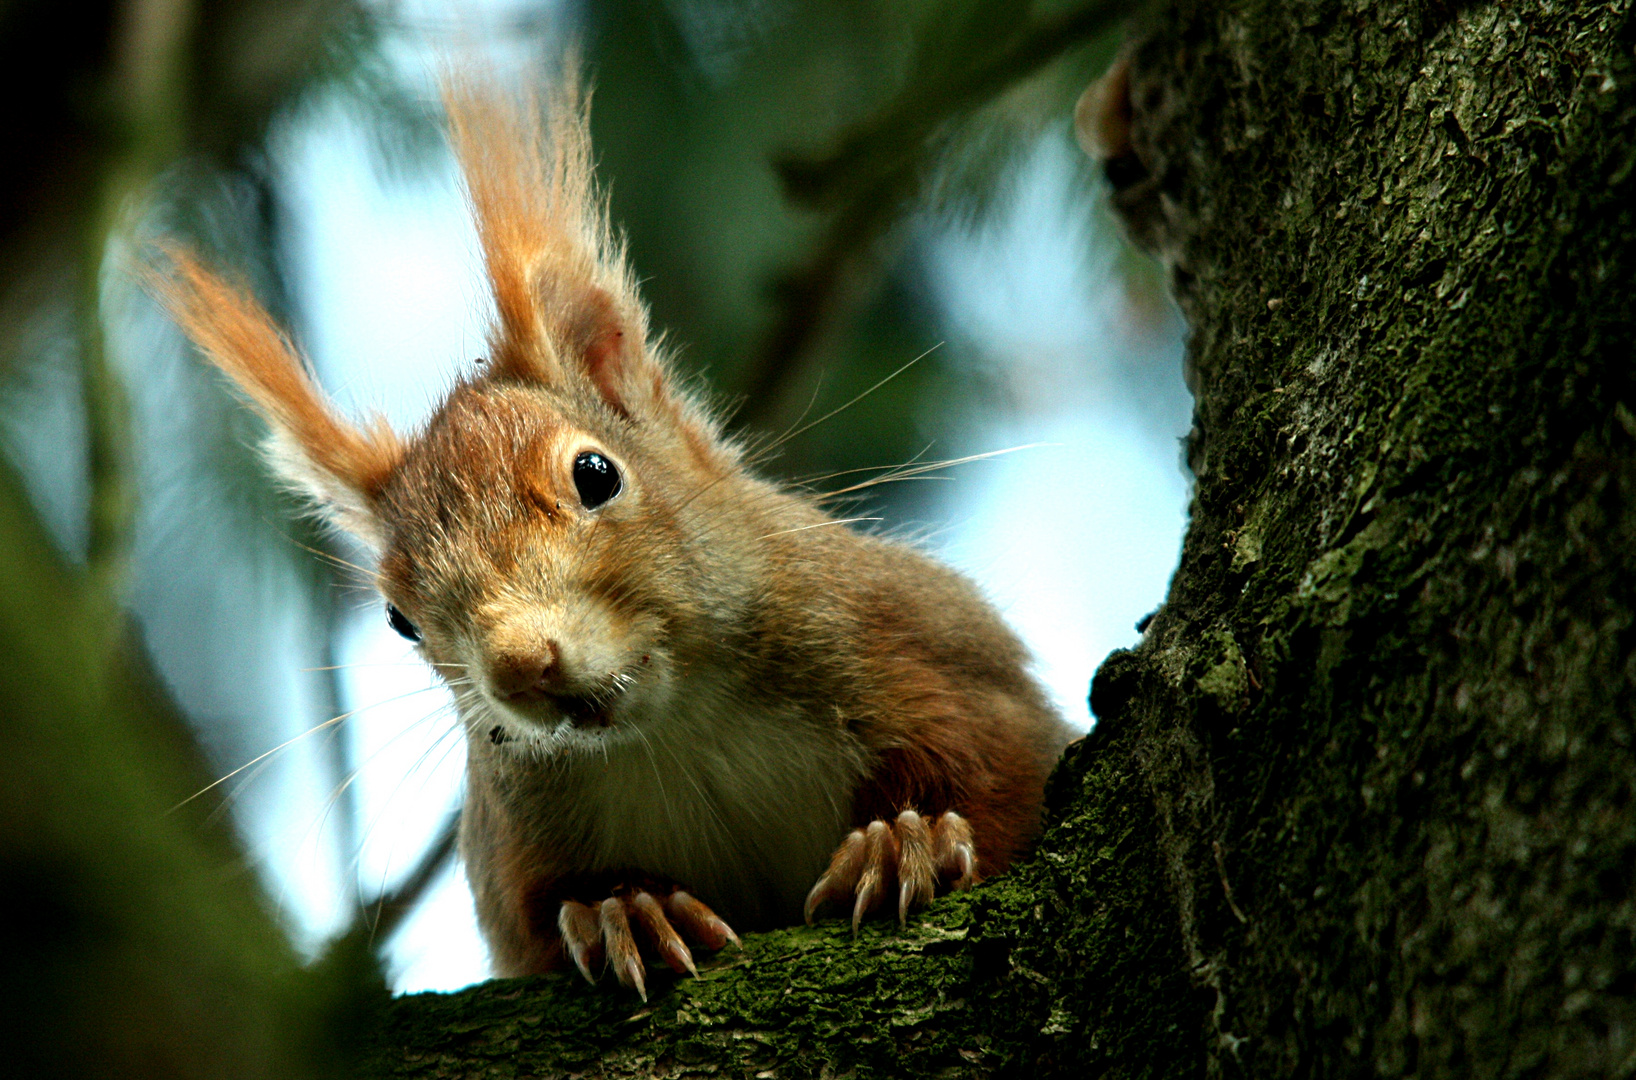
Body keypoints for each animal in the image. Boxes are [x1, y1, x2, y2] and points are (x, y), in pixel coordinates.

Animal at [156, 71, 1073, 1001]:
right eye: (399, 619)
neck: (679, 726)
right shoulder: (514, 849)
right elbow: (537, 923)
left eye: (595, 475)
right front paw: (619, 912)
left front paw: (907, 841)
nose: (520, 666)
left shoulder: (932, 652)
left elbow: (1003, 773)